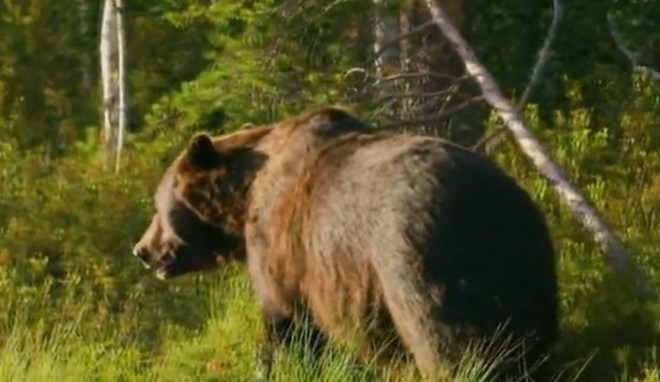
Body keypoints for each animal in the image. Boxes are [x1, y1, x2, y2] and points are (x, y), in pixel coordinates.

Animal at [131, 106, 560, 380]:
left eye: (157, 205)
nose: (142, 250)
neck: (244, 198)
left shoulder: (282, 244)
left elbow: (287, 323)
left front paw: (273, 365)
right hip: (526, 267)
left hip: (415, 258)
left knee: (445, 342)